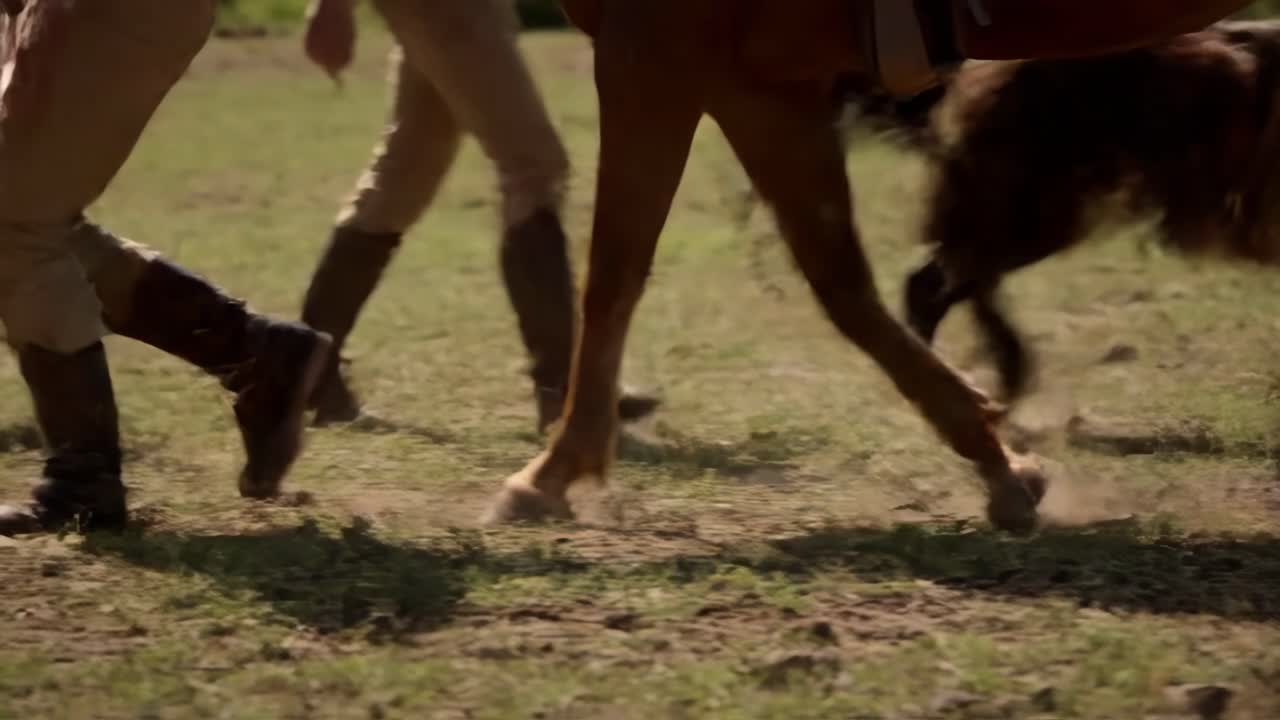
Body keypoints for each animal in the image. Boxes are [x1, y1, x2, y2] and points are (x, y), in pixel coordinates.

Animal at [482, 0, 1254, 535]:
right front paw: (1002, 465)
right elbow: (843, 285)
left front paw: (551, 474)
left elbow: (612, 276)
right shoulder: (761, 87)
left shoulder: (652, 55)